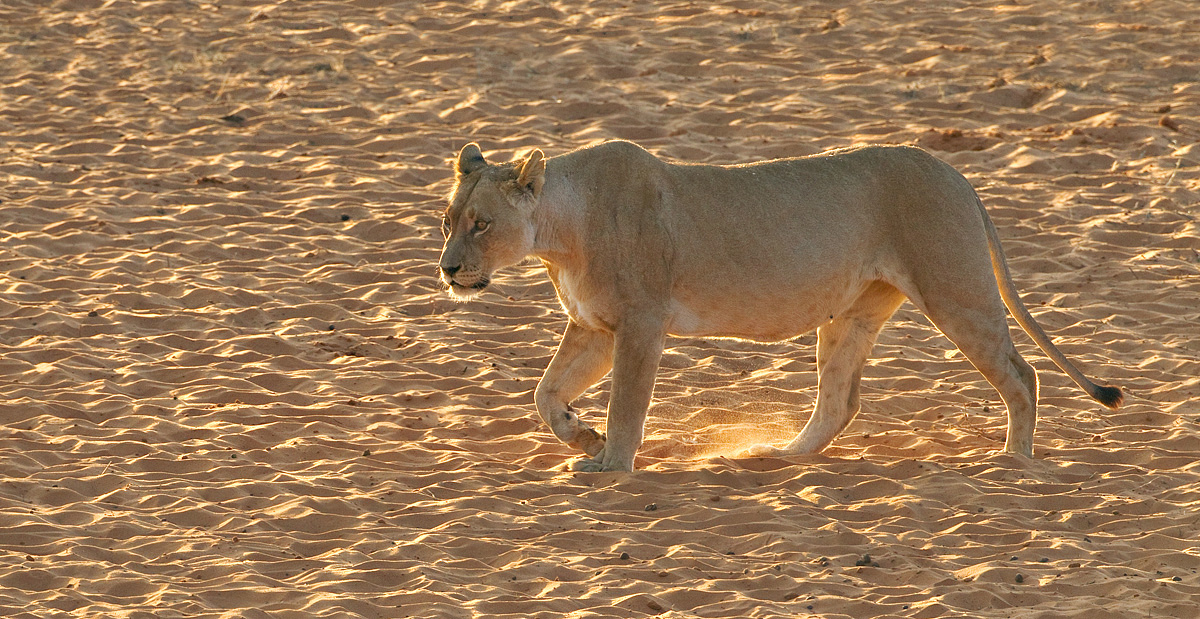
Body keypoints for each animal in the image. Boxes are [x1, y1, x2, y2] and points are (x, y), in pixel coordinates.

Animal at [437, 140, 1122, 472]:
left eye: (481, 224)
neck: (560, 232)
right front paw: (582, 437)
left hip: (957, 292)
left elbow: (627, 403)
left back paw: (1016, 461)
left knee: (1022, 374)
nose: (446, 269)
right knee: (841, 401)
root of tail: (957, 175)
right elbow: (545, 393)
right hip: (854, 313)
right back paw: (783, 456)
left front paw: (610, 464)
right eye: (447, 221)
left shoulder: (639, 323)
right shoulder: (594, 326)